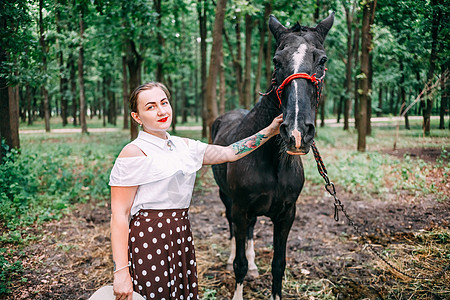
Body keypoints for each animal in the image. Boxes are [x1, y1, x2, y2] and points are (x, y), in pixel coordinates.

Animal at [211, 13, 334, 300]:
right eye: (277, 61)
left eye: (322, 60)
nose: (297, 132)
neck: (273, 162)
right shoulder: (240, 208)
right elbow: (239, 264)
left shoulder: (286, 214)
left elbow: (279, 264)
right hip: (227, 199)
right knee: (232, 228)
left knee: (250, 231)